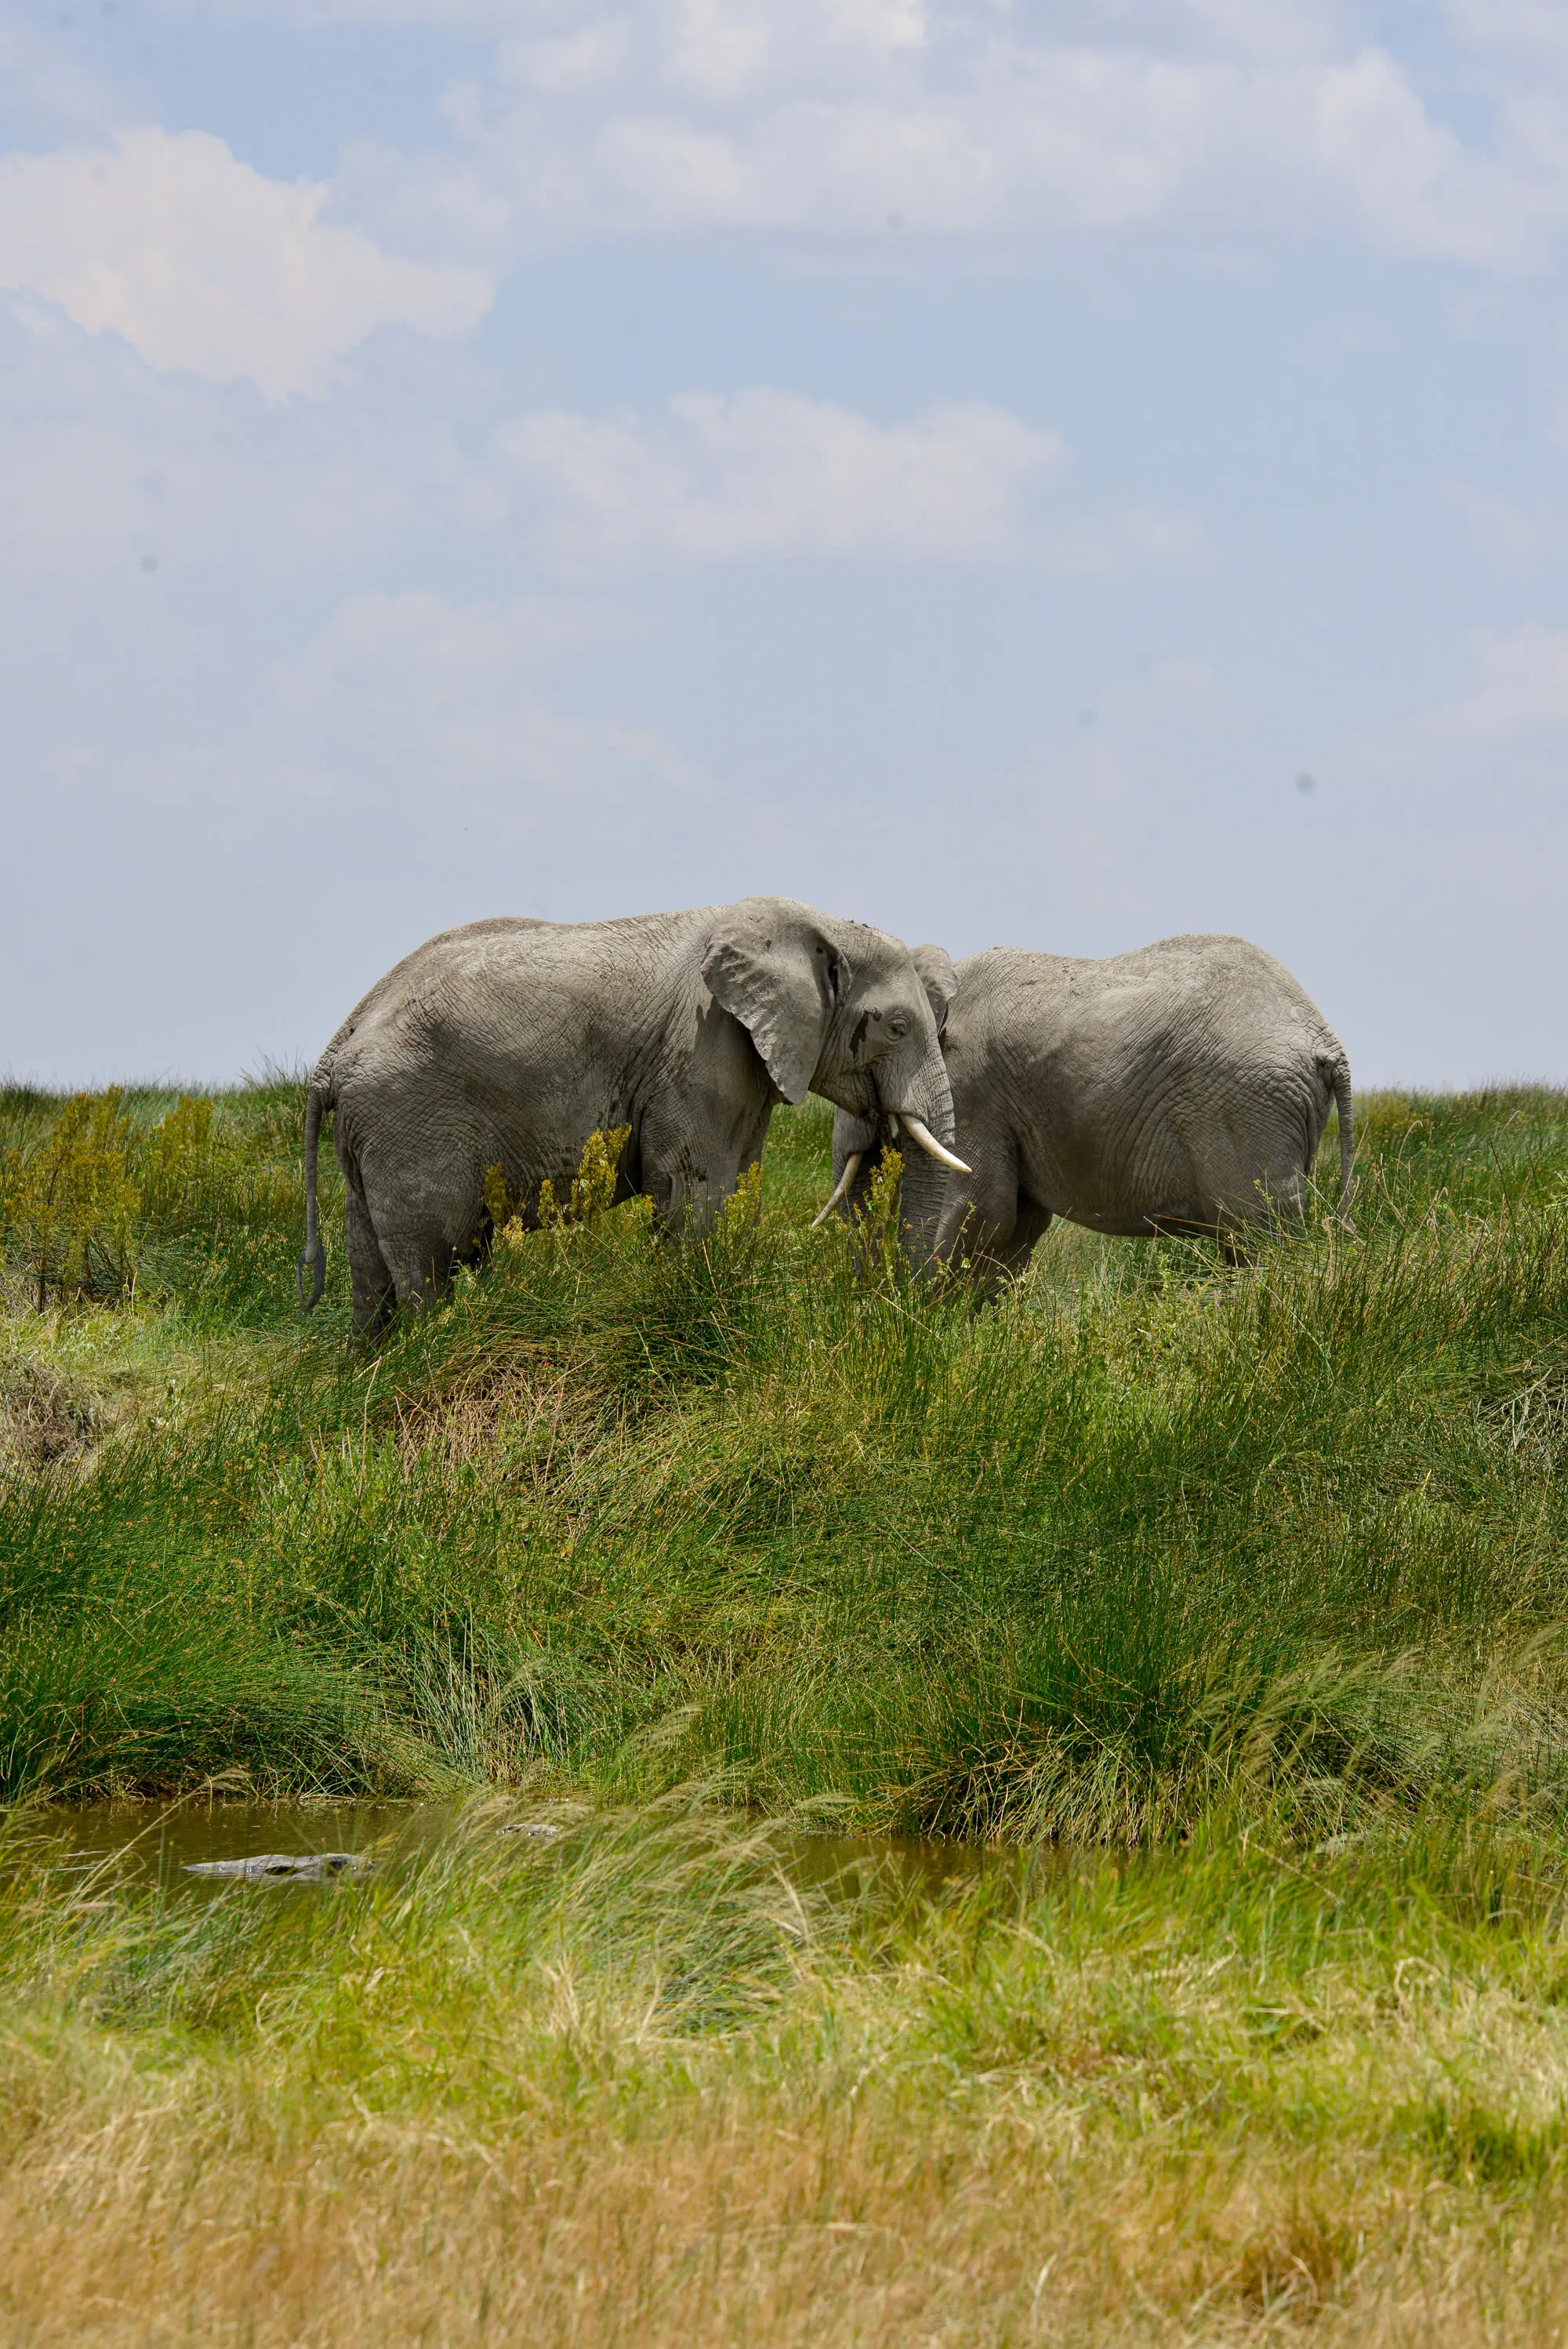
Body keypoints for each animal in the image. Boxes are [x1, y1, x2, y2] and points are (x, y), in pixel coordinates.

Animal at [296, 896, 969, 1329]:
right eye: (897, 1028)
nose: (901, 1315)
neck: (815, 923)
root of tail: (335, 1051)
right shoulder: (702, 1048)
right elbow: (694, 1191)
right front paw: (691, 1310)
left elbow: (737, 1187)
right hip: (406, 1121)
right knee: (432, 1257)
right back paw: (432, 1349)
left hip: (373, 1132)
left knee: (371, 1269)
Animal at [824, 933, 1352, 1281]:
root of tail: (1326, 1042)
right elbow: (1015, 1227)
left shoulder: (970, 1086)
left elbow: (978, 1210)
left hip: (1246, 1107)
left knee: (1257, 1237)